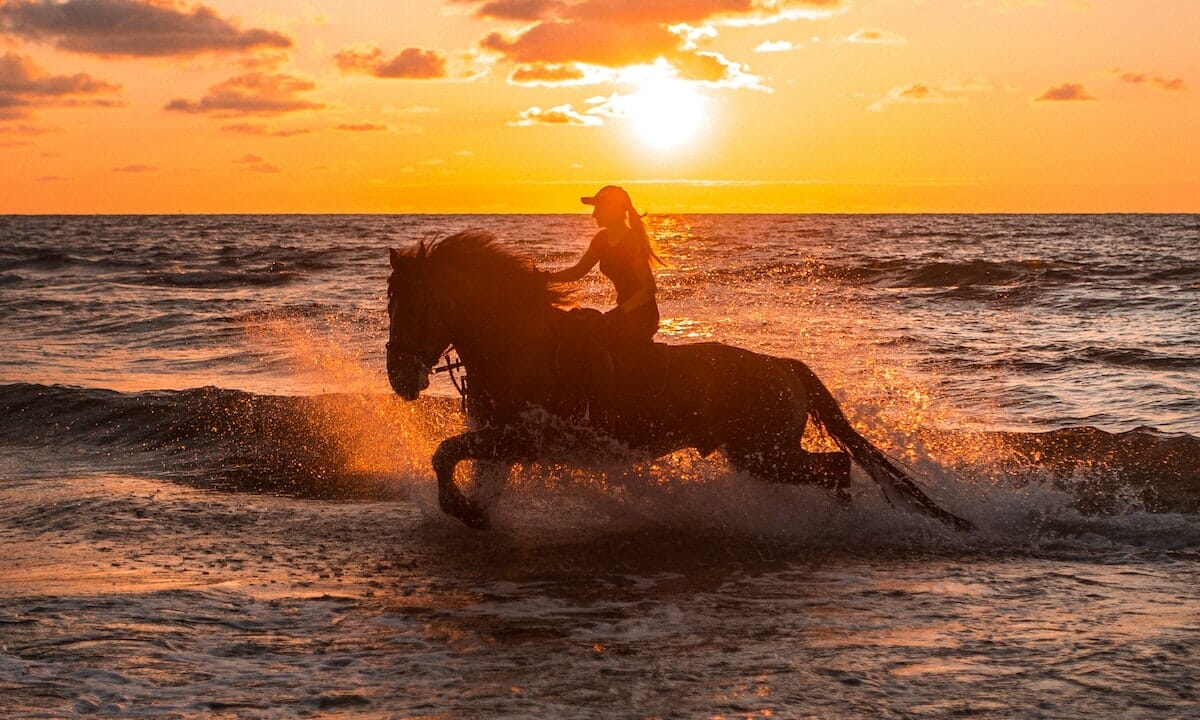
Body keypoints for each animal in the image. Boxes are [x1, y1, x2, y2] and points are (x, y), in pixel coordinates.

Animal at [386, 230, 971, 532]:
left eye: (409, 304)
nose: (399, 378)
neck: (517, 342)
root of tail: (785, 367)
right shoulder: (500, 439)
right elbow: (464, 467)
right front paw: (475, 512)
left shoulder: (525, 438)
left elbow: (443, 454)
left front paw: (463, 512)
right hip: (762, 454)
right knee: (836, 468)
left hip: (763, 454)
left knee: (837, 467)